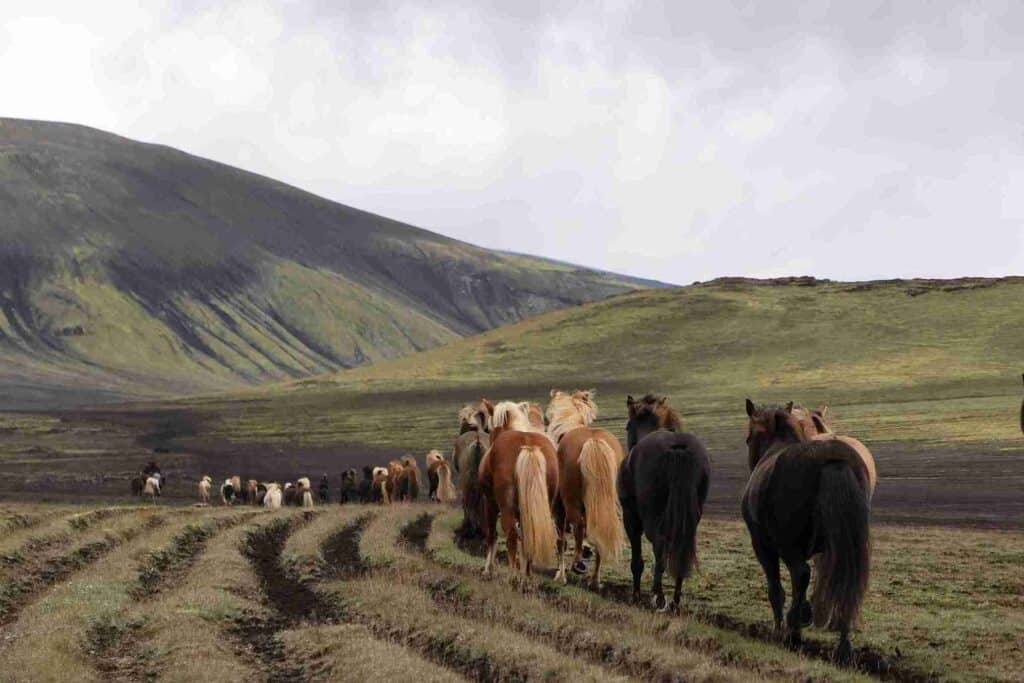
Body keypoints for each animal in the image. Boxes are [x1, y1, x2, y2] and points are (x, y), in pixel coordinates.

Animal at [478, 401, 559, 577]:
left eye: (488, 428)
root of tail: (528, 446)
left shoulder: (489, 503)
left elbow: (492, 535)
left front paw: (488, 568)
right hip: (545, 504)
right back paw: (526, 575)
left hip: (506, 508)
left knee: (511, 535)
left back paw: (513, 575)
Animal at [546, 389, 626, 588]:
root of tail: (593, 441)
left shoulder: (558, 510)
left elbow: (561, 541)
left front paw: (560, 575)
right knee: (600, 532)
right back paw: (595, 580)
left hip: (571, 502)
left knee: (580, 526)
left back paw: (579, 563)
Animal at [619, 394, 710, 611]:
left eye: (627, 426)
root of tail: (678, 448)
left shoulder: (631, 518)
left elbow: (637, 560)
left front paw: (636, 595)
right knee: (681, 549)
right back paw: (675, 601)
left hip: (651, 520)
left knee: (659, 547)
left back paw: (658, 596)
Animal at [742, 399, 871, 664]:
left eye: (749, 438)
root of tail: (834, 461)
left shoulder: (763, 546)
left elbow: (776, 590)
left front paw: (781, 627)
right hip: (846, 546)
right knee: (846, 584)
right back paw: (843, 646)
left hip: (789, 548)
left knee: (800, 574)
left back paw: (793, 631)